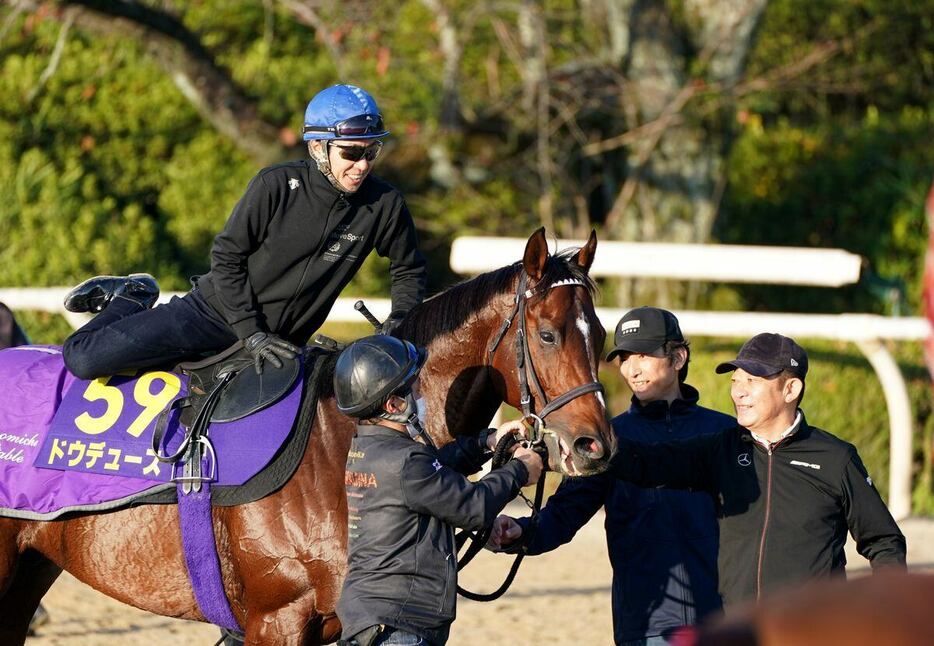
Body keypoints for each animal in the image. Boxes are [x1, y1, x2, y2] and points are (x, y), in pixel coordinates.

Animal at [0, 228, 616, 644]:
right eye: (547, 334)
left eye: (602, 335)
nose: (594, 446)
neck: (340, 438)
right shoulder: (278, 621)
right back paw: (116, 291)